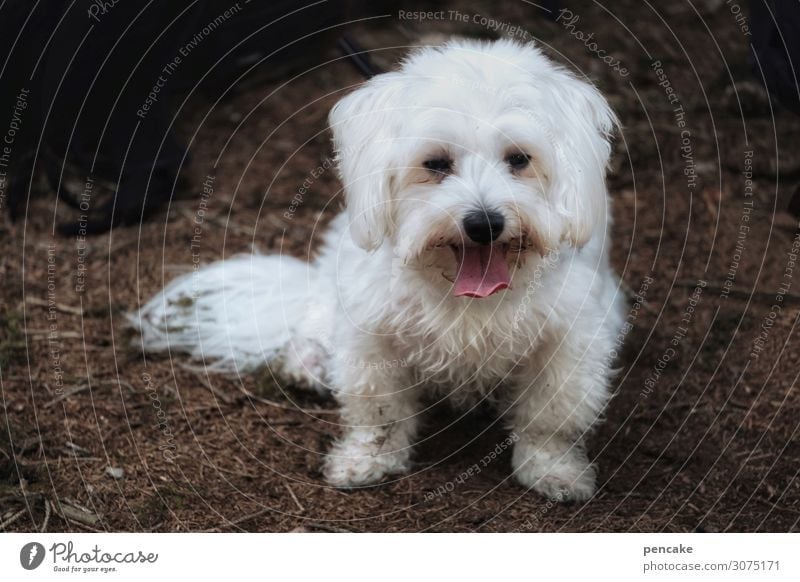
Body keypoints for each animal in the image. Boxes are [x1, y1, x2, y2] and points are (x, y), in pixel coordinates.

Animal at [133, 38, 624, 502]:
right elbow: (379, 412)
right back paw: (308, 363)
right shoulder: (372, 331)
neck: (461, 290)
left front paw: (553, 469)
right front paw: (367, 460)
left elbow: (550, 416)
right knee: (314, 319)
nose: (484, 224)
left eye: (519, 159)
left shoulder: (569, 340)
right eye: (435, 163)